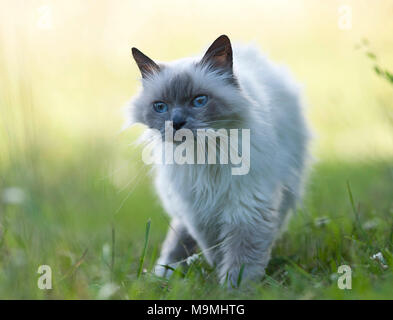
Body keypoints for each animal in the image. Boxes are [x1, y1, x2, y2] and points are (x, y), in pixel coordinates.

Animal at [127, 35, 310, 288]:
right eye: (160, 106)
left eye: (199, 101)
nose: (177, 122)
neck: (204, 156)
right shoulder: (198, 210)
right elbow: (213, 246)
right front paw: (218, 273)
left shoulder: (247, 205)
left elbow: (242, 257)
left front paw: (234, 288)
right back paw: (163, 275)